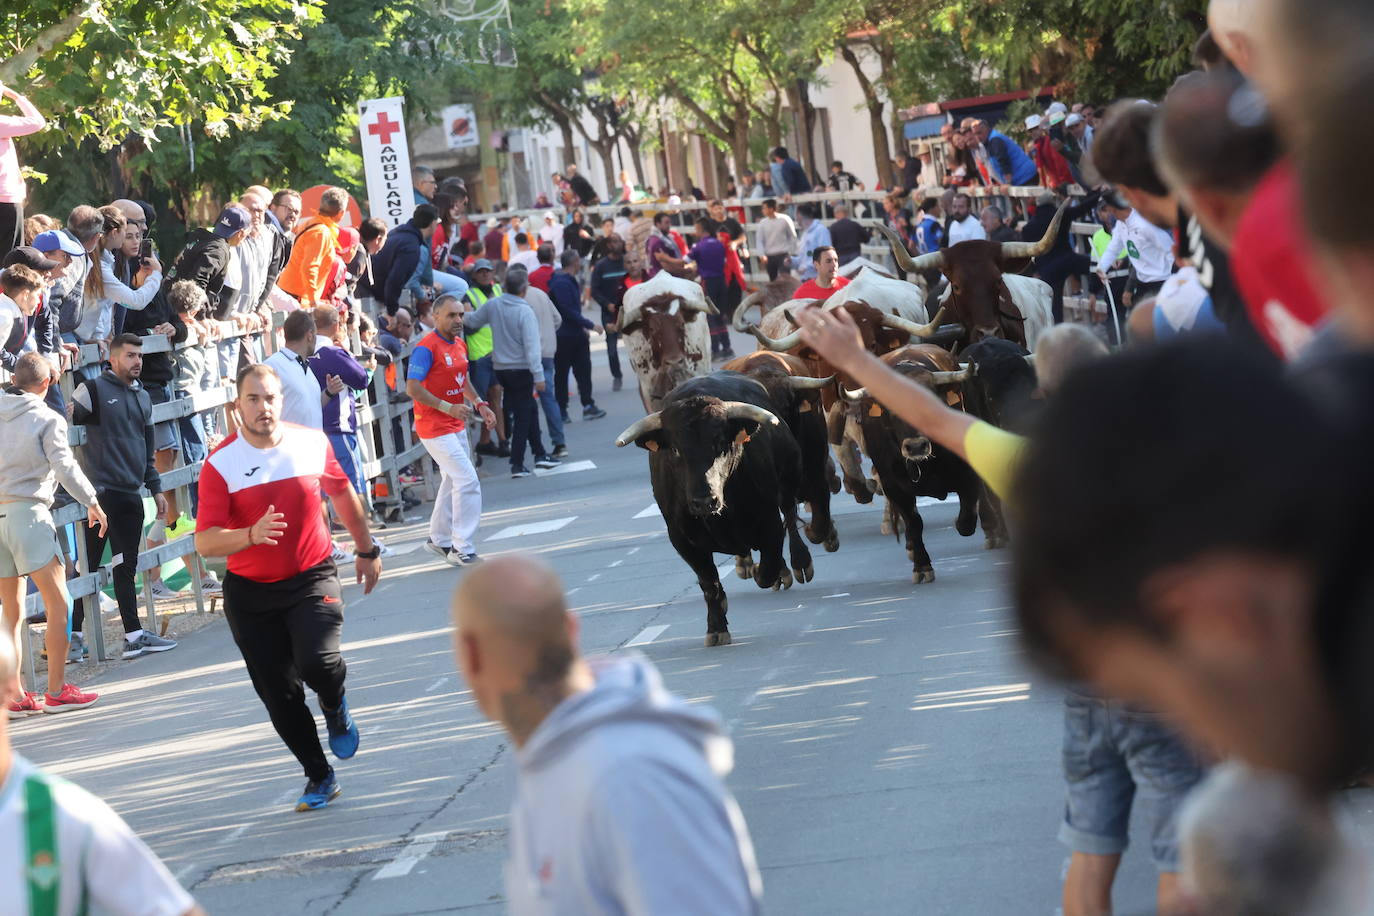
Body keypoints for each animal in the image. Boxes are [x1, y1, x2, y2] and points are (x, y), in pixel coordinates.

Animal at [615, 370, 813, 645]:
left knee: (791, 518)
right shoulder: (682, 541)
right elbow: (709, 584)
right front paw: (716, 627)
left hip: (789, 477)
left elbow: (767, 568)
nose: (704, 500)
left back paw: (799, 563)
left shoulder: (769, 522)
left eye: (720, 443)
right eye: (675, 449)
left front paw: (772, 573)